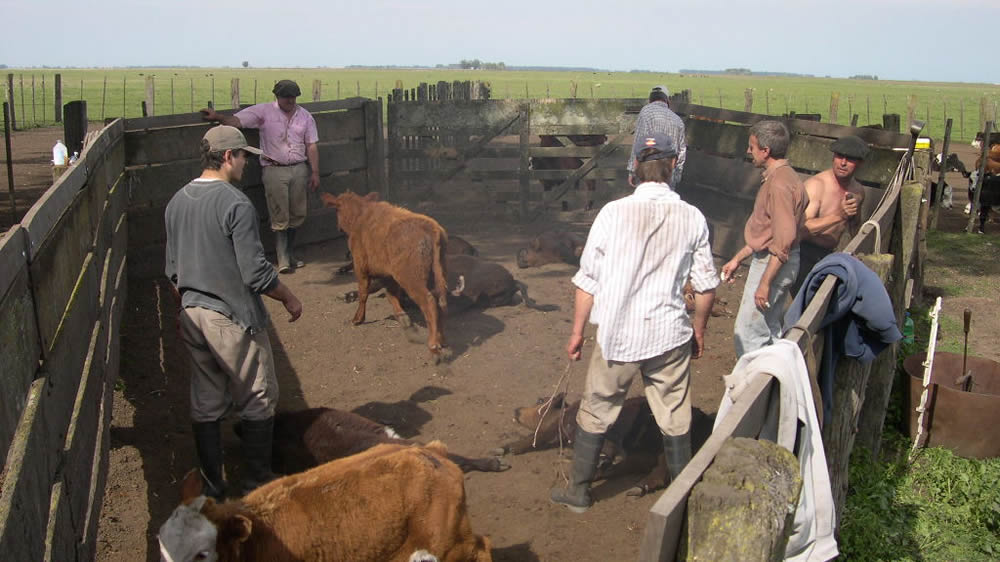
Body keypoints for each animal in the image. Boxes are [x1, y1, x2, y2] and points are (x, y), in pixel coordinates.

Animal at [322, 190, 448, 356]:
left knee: (429, 301)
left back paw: (434, 344)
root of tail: (432, 228)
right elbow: (391, 295)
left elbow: (363, 293)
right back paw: (442, 339)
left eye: (337, 210)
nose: (338, 228)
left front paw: (358, 319)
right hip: (438, 275)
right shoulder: (388, 275)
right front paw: (403, 317)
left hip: (411, 279)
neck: (360, 217)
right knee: (441, 301)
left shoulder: (361, 267)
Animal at [494, 390, 668, 494]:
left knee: (659, 470)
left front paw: (507, 448)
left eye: (540, 400)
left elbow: (538, 436)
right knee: (646, 467)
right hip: (647, 454)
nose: (516, 410)